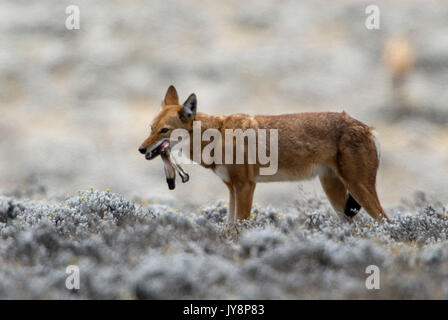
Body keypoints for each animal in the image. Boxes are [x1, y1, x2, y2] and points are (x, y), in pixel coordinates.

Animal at [138, 86, 390, 224]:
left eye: (164, 130)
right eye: (150, 128)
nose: (141, 149)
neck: (218, 135)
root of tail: (369, 128)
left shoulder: (246, 186)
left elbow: (240, 227)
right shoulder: (232, 189)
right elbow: (229, 227)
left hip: (358, 190)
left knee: (387, 225)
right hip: (336, 195)